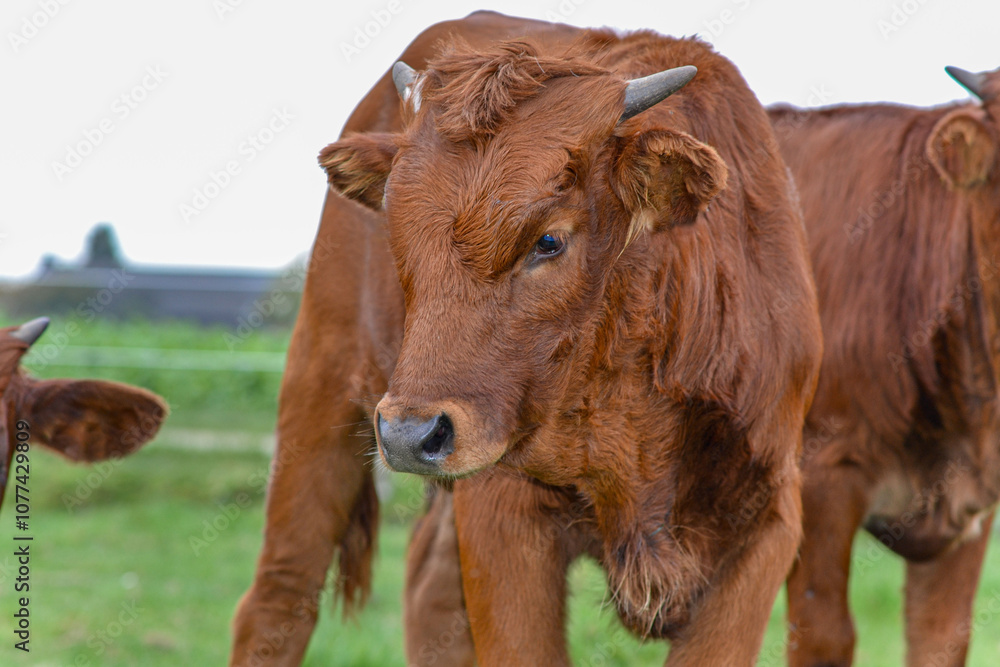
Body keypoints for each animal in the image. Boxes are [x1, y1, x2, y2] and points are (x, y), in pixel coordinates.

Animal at [230, 11, 822, 667]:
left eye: (549, 241)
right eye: (395, 229)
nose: (411, 435)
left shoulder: (769, 522)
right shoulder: (502, 510)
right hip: (321, 387)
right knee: (281, 595)